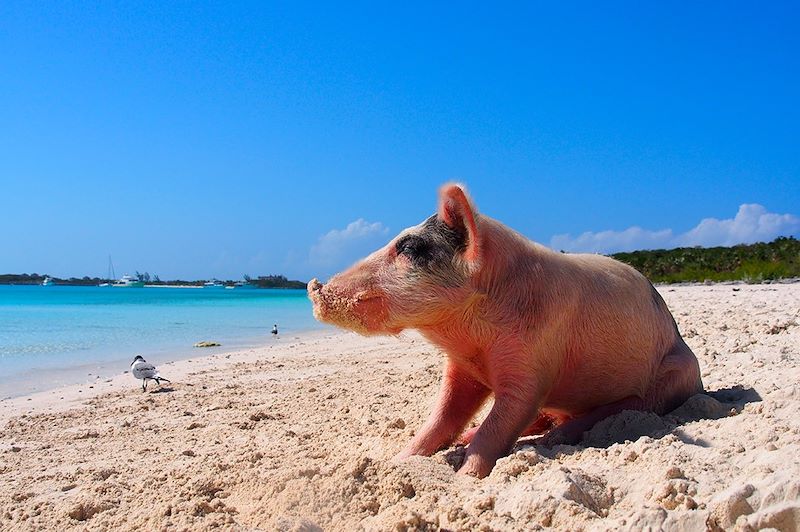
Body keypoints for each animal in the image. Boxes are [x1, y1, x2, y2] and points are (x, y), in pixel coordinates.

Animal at [306, 183, 700, 478]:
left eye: (408, 247)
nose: (313, 287)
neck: (473, 339)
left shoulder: (534, 361)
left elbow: (502, 420)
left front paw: (465, 478)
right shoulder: (462, 368)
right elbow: (442, 415)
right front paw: (400, 460)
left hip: (675, 377)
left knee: (622, 407)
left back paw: (554, 438)